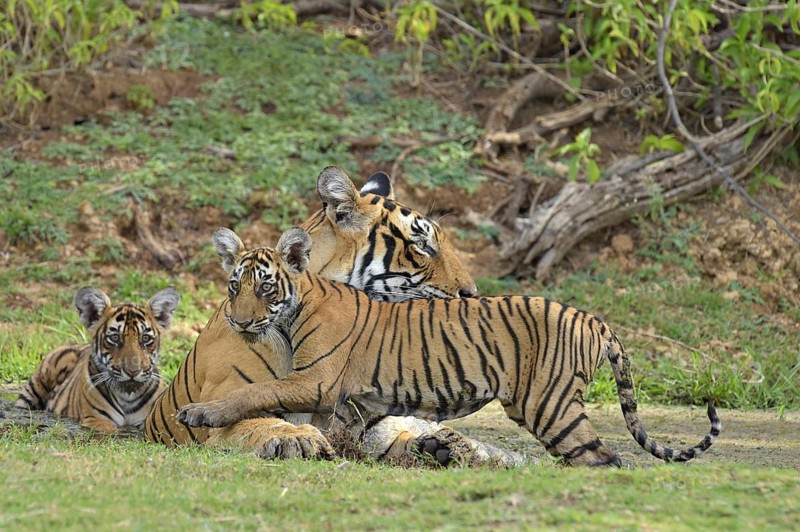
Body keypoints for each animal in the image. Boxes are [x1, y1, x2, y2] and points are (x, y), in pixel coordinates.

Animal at [145, 167, 523, 466]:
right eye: (422, 245)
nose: (472, 293)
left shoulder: (372, 421)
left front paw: (446, 447)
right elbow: (251, 419)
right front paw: (296, 437)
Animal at [176, 226, 722, 467]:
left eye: (266, 287)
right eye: (234, 286)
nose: (239, 319)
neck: (295, 308)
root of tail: (592, 318)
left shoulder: (316, 379)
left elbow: (253, 393)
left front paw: (200, 412)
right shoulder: (348, 400)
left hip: (550, 406)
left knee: (603, 460)